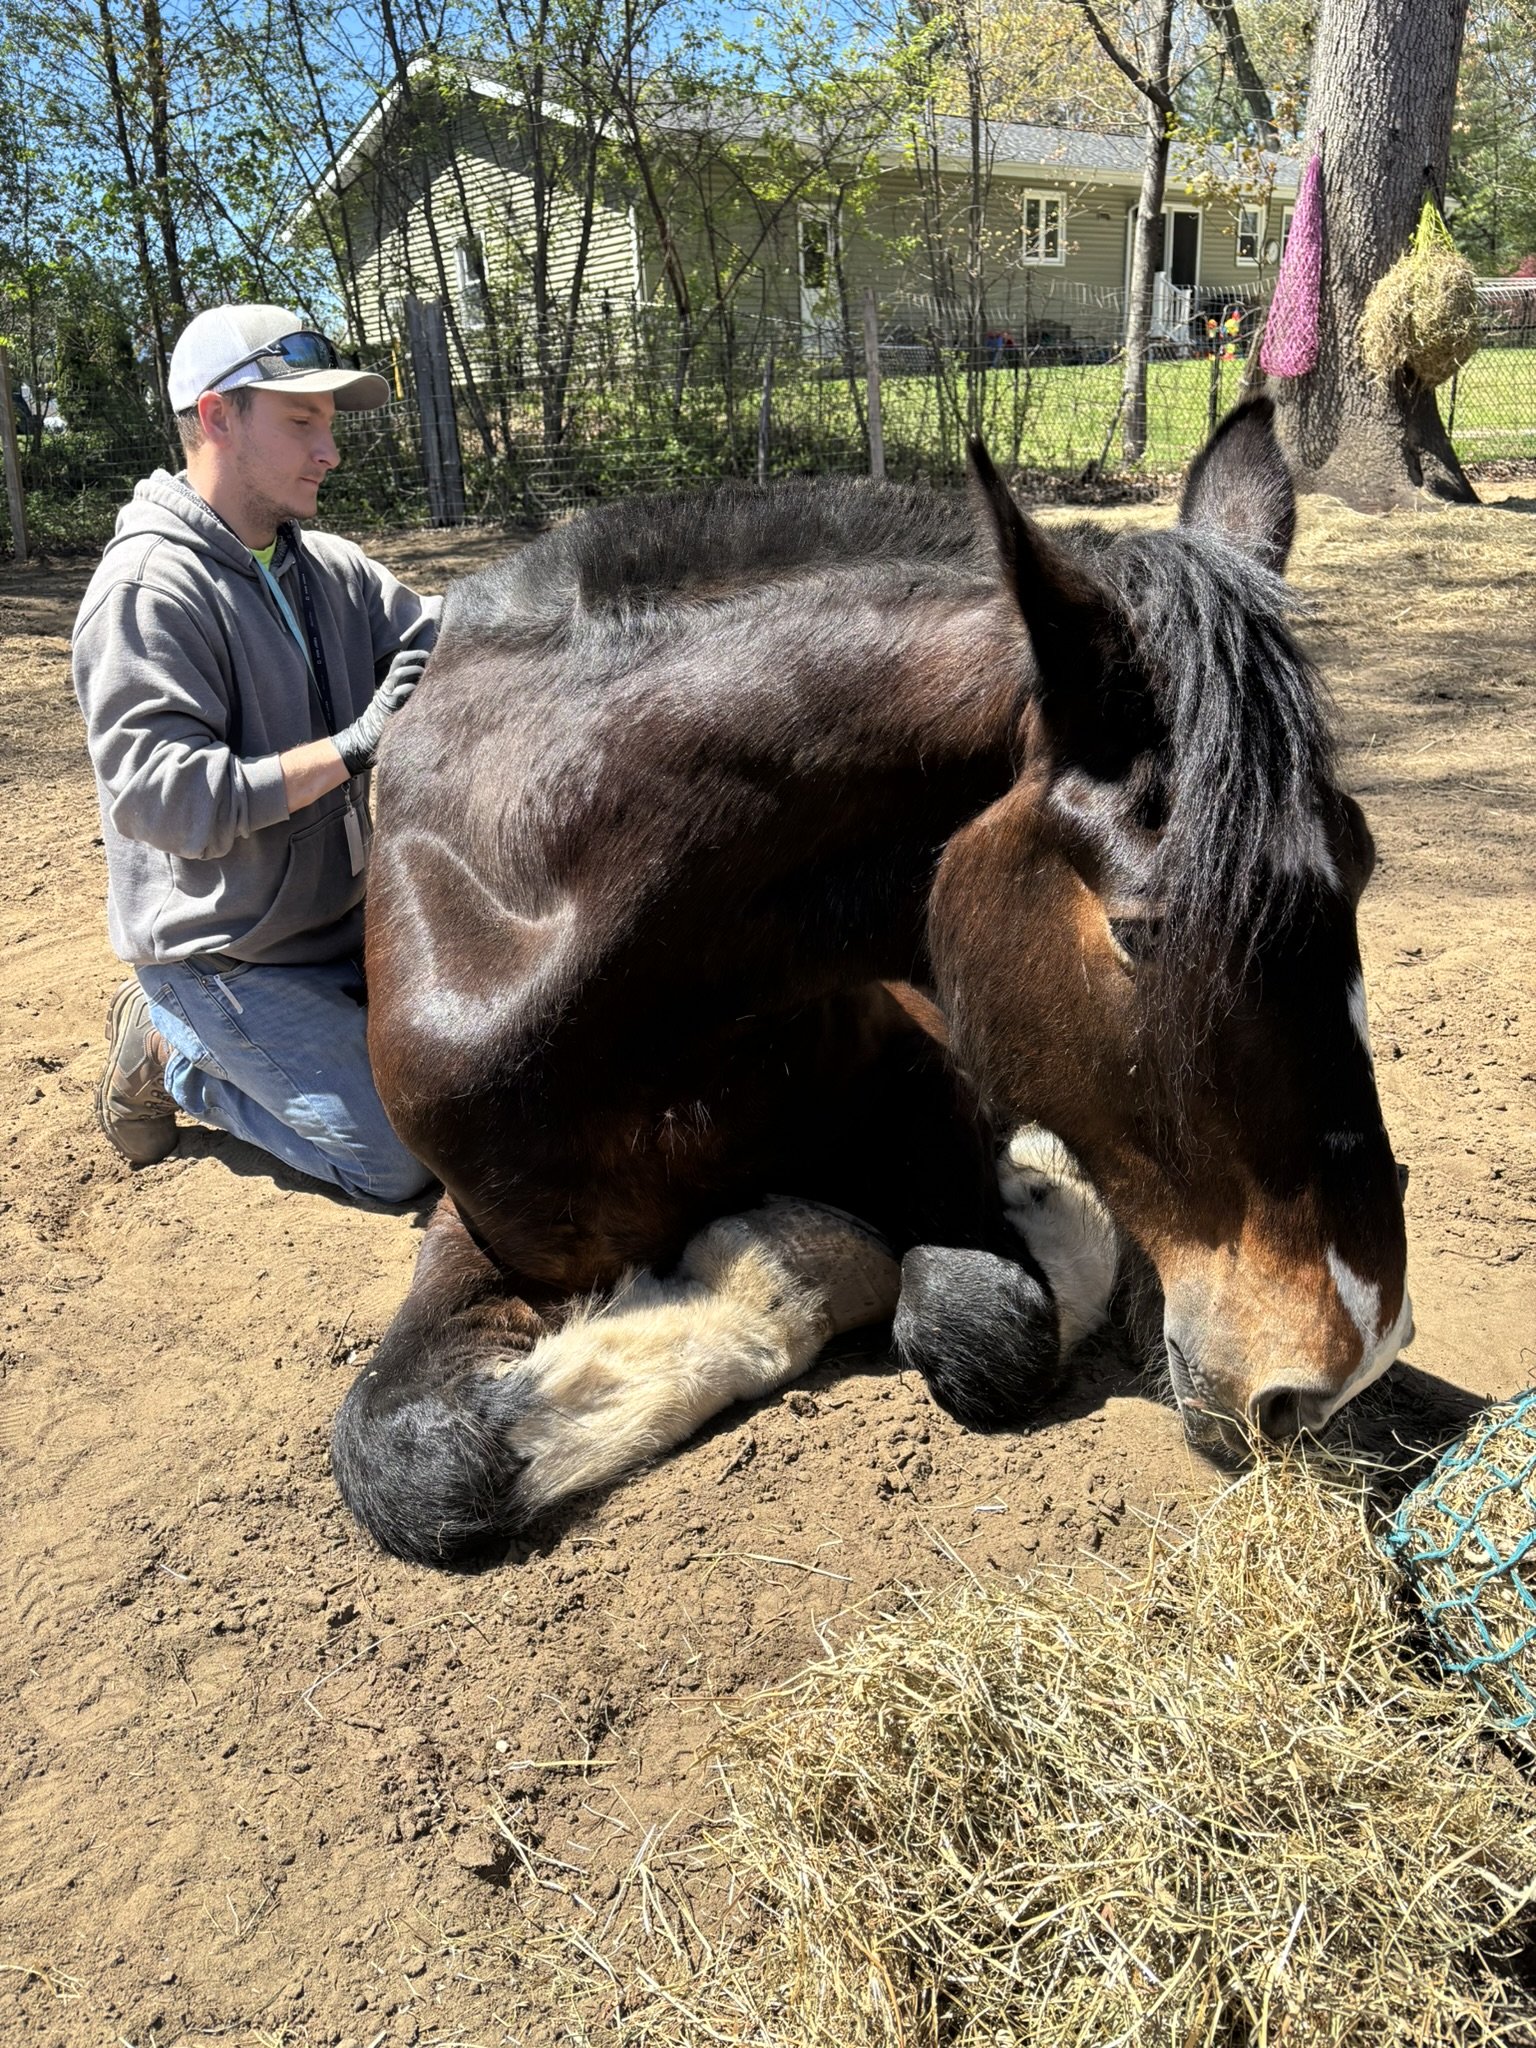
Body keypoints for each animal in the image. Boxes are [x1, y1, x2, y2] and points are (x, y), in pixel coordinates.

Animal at [332, 397, 1412, 1566]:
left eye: (1365, 863)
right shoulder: (486, 1225)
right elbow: (419, 1462)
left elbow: (986, 1321)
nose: (1347, 1357)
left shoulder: (934, 1101)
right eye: (1138, 930)